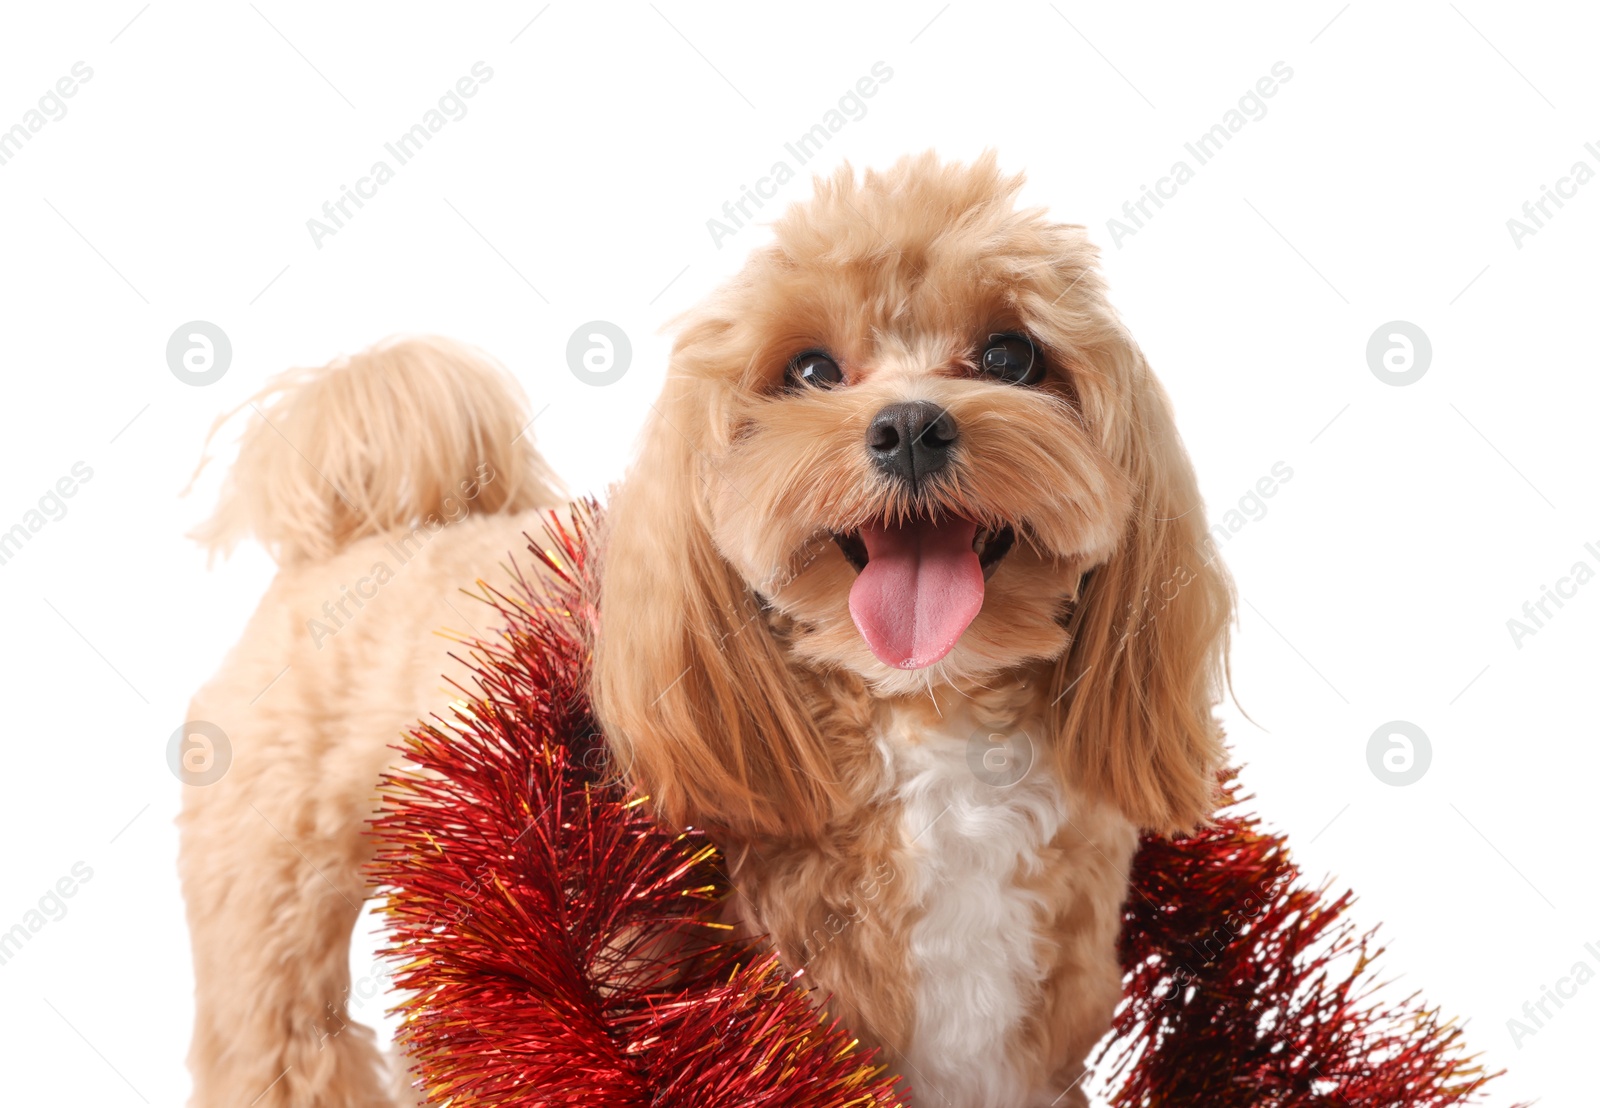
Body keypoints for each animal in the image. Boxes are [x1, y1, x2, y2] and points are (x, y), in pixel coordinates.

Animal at [181, 149, 1228, 1108]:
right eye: (809, 370)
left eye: (1012, 356)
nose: (909, 427)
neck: (927, 717)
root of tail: (369, 532)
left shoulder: (1017, 1045)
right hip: (278, 890)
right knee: (286, 1038)